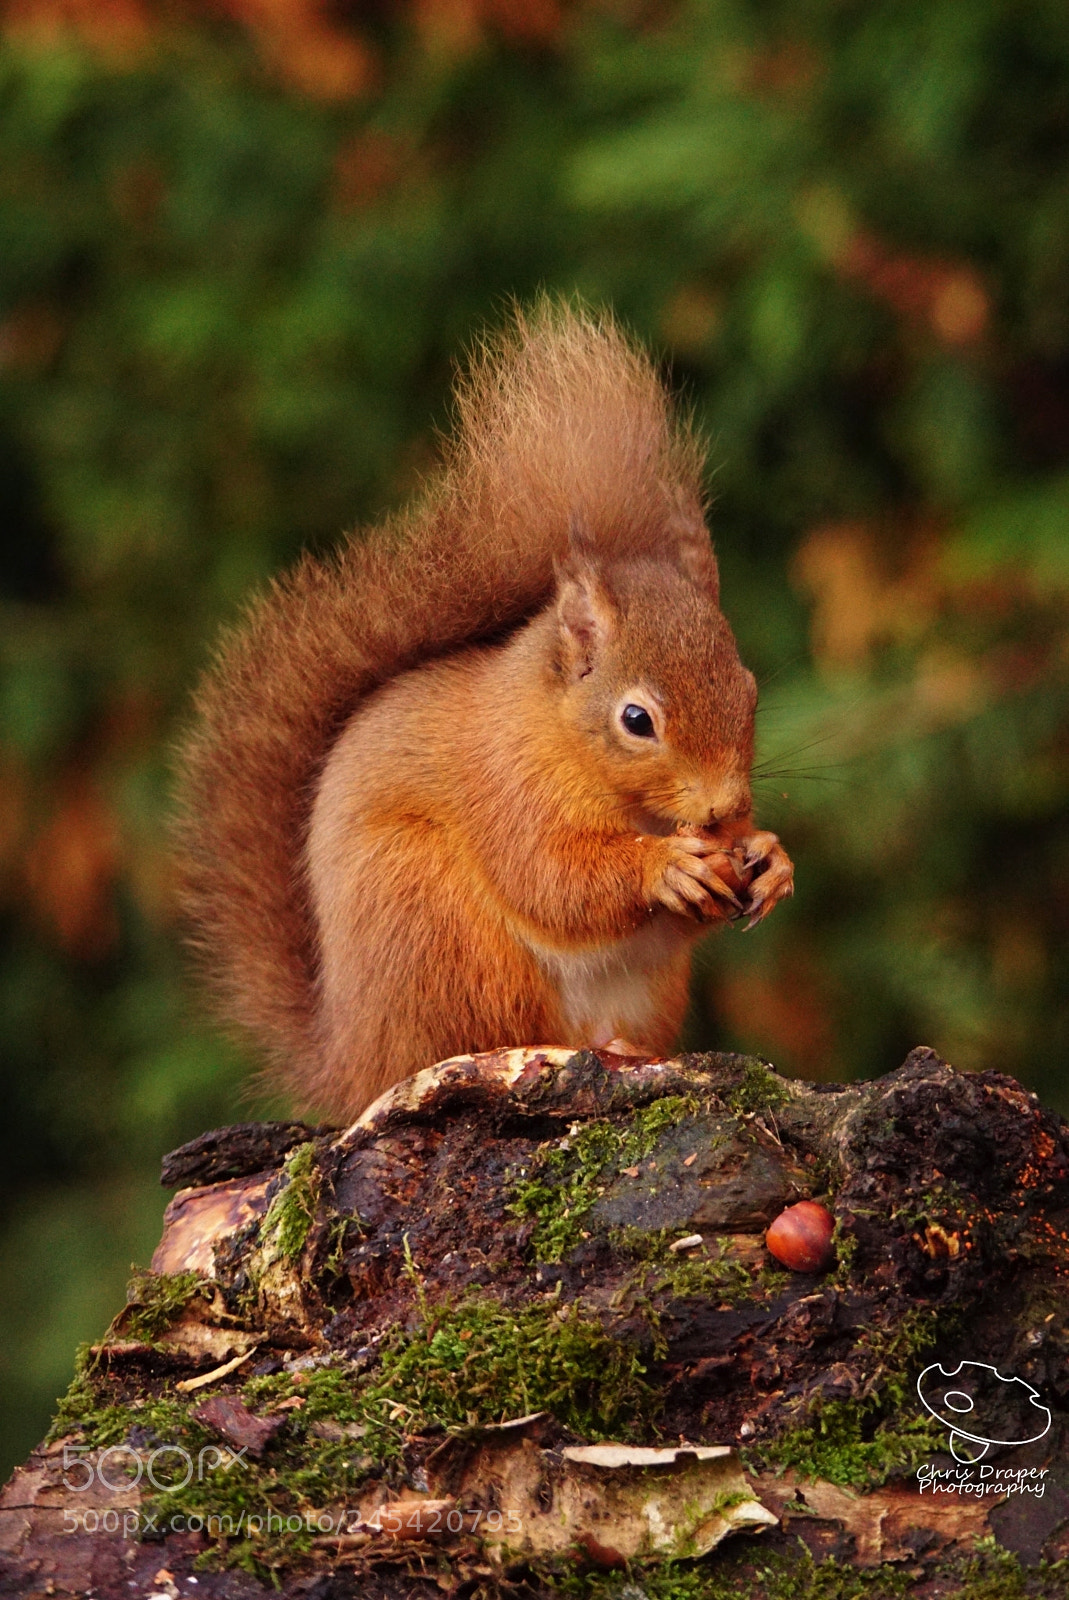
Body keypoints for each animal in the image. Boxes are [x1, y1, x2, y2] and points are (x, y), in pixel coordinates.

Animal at [175, 301, 793, 1123]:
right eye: (636, 721)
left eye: (750, 692)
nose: (725, 808)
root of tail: (354, 1064)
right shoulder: (504, 784)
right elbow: (550, 878)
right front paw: (664, 866)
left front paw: (769, 857)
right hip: (432, 925)